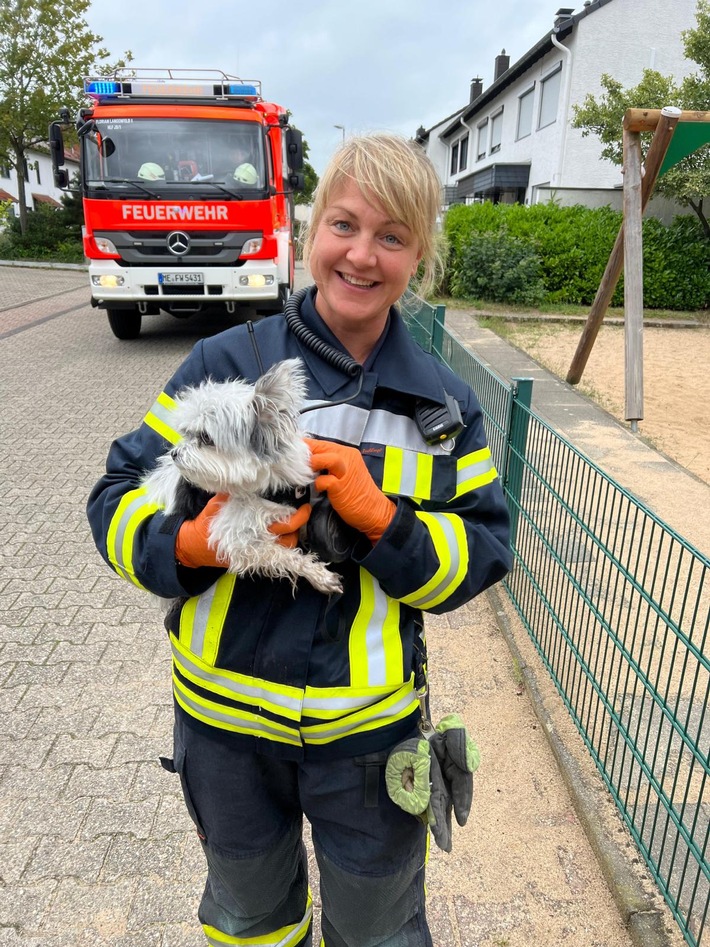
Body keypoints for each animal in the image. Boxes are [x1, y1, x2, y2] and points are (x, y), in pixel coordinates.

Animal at [141, 360, 342, 596]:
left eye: (206, 437)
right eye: (187, 433)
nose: (174, 454)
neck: (266, 487)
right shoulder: (238, 540)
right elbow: (282, 554)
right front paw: (318, 574)